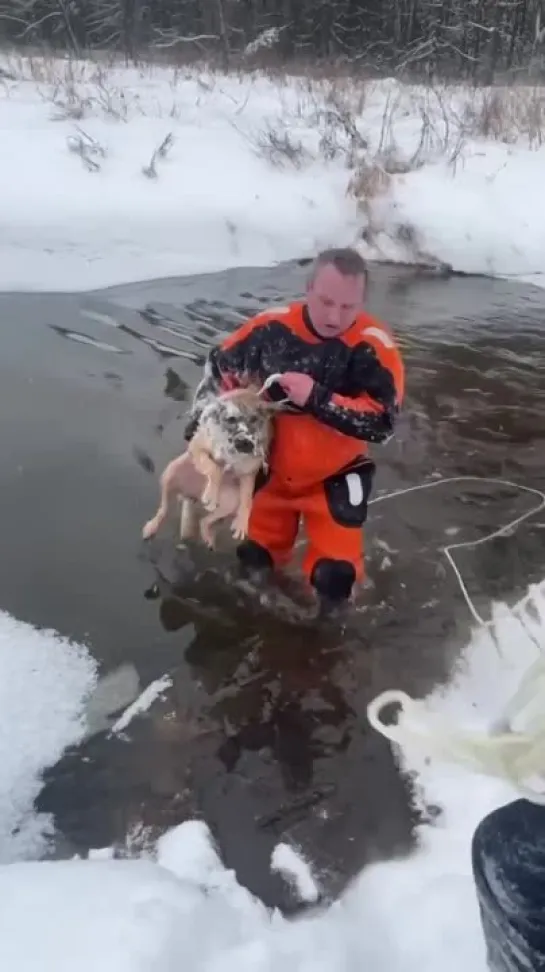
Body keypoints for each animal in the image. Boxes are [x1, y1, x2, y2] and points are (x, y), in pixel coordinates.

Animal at [141, 386, 276, 548]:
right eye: (231, 419)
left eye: (255, 420)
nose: (246, 444)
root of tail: (192, 495)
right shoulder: (198, 447)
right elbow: (214, 468)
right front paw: (211, 494)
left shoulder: (248, 473)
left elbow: (247, 497)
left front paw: (242, 521)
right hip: (171, 472)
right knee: (163, 510)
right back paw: (152, 527)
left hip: (230, 502)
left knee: (204, 520)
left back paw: (207, 536)